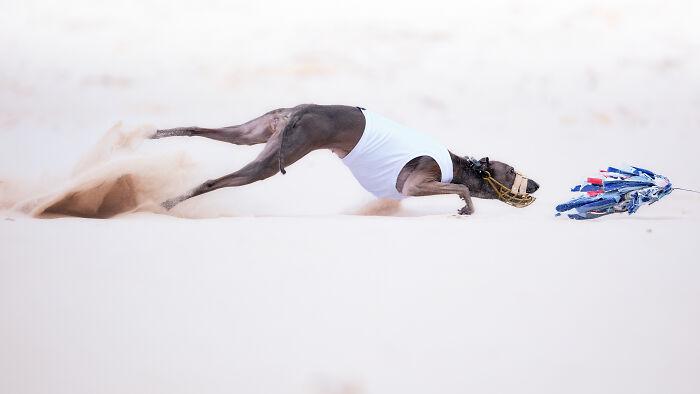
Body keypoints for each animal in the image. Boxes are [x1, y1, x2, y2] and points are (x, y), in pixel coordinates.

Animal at [153, 104, 540, 214]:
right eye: (512, 171)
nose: (537, 184)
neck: (460, 163)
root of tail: (301, 110)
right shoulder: (417, 183)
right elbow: (464, 188)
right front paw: (467, 207)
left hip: (258, 133)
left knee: (198, 128)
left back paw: (153, 134)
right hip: (270, 161)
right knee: (212, 181)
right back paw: (166, 202)